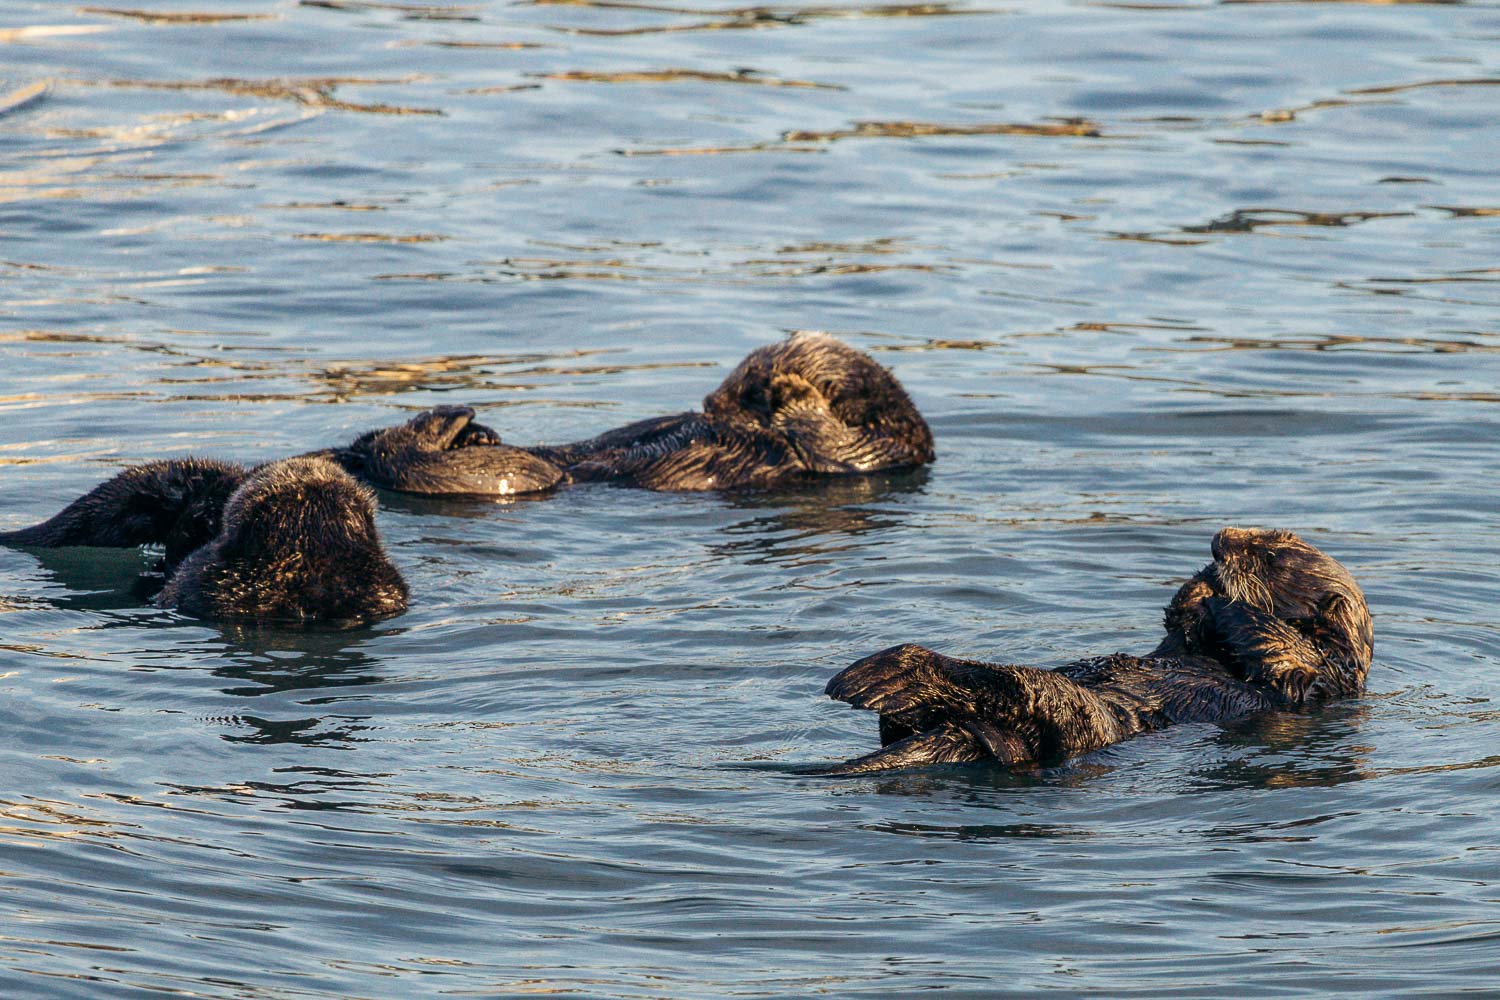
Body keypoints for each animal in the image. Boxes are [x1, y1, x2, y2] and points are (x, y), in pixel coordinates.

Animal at [330, 333, 934, 495]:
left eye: (746, 389)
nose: (709, 404)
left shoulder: (877, 452)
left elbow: (831, 440)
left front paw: (794, 391)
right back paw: (472, 427)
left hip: (518, 477)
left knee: (406, 458)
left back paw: (456, 419)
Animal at [814, 528, 1372, 775]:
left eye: (1271, 554)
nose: (1219, 539)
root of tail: (966, 733)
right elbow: (1178, 632)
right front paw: (1198, 588)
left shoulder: (1317, 676)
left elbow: (1281, 648)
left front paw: (1221, 594)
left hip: (1084, 722)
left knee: (1015, 689)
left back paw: (881, 676)